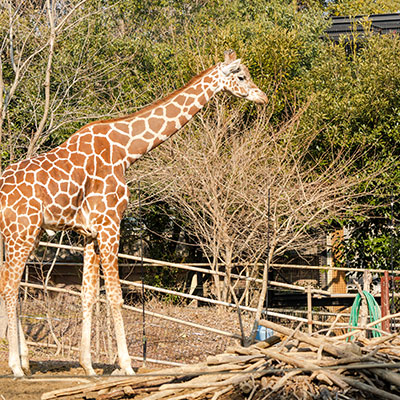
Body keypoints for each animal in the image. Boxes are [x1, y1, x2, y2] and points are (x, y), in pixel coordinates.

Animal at [0, 49, 268, 376]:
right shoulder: (110, 224)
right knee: (10, 286)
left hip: (21, 235)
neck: (126, 150)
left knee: (9, 283)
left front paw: (88, 366)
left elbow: (89, 293)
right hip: (22, 232)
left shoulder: (89, 232)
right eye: (241, 76)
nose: (262, 97)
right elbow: (116, 295)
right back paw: (15, 365)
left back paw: (23, 361)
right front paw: (126, 365)